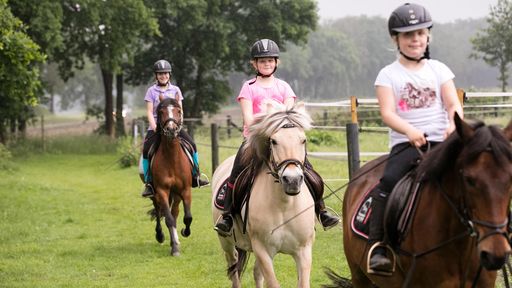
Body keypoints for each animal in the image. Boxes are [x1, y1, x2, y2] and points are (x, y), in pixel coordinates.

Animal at [151, 98, 195, 256]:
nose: (171, 130)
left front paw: (184, 232)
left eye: (178, 111)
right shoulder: (162, 191)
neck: (171, 159)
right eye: (161, 111)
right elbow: (168, 219)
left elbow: (187, 217)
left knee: (175, 212)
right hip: (155, 194)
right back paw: (161, 236)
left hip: (176, 194)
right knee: (159, 212)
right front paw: (175, 248)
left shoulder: (186, 190)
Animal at [209, 102, 314, 286]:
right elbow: (272, 283)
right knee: (234, 269)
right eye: (274, 141)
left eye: (303, 140)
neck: (284, 205)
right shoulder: (263, 249)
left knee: (256, 273)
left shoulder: (304, 251)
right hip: (226, 243)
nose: (292, 180)